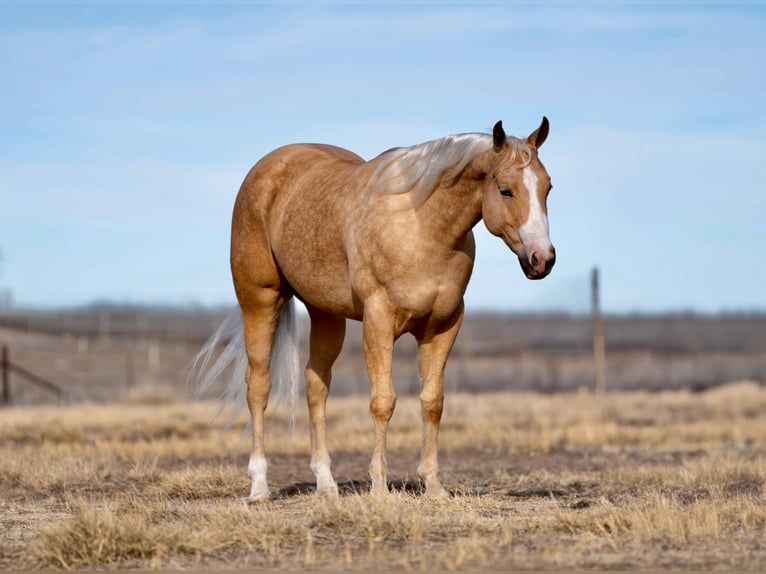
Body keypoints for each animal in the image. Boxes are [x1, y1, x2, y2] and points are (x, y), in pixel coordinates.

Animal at [196, 118, 560, 504]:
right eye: (506, 190)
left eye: (548, 187)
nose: (542, 259)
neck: (421, 227)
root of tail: (266, 169)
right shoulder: (378, 321)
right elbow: (383, 402)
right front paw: (380, 486)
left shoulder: (443, 327)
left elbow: (432, 402)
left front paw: (433, 486)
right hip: (260, 300)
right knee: (258, 386)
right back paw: (260, 486)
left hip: (326, 314)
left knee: (315, 386)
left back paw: (326, 484)